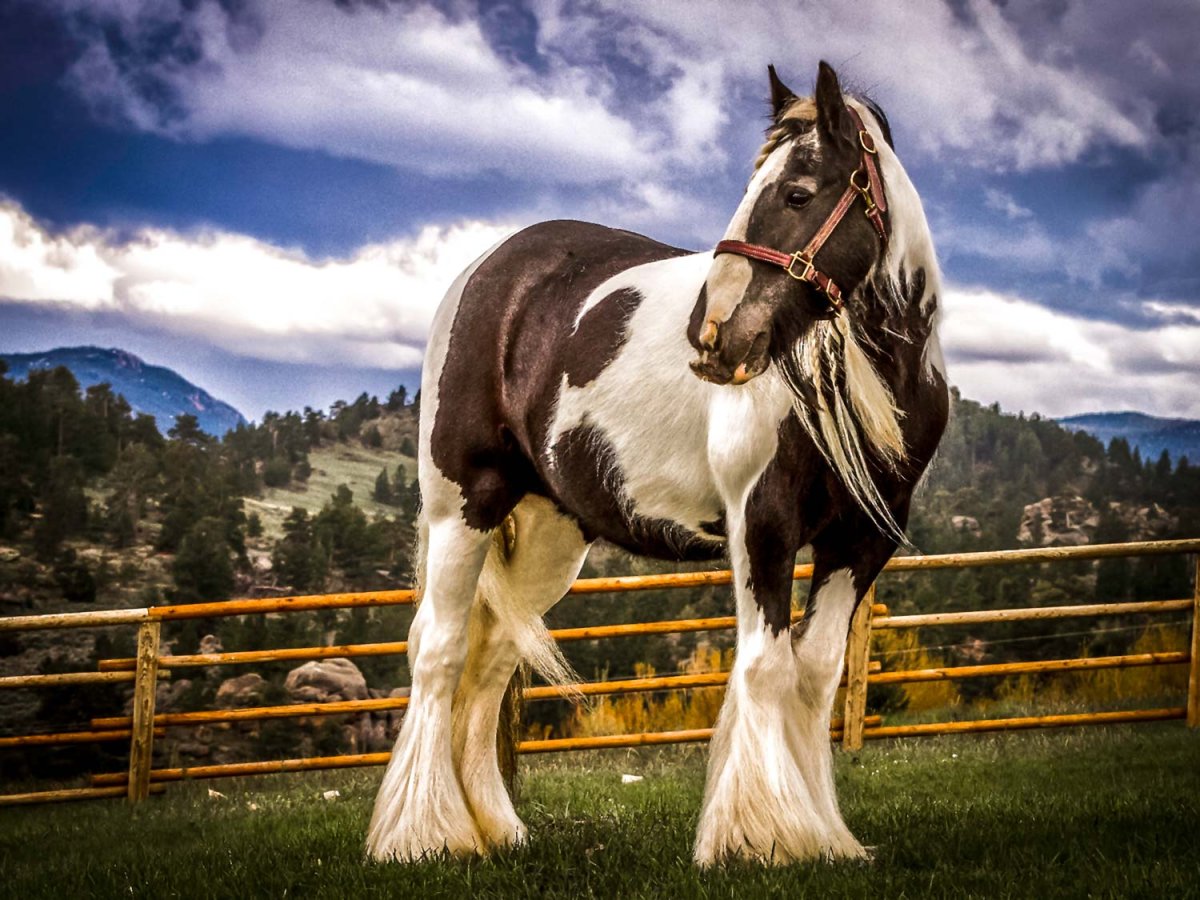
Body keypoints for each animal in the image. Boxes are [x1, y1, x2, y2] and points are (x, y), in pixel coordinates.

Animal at [367, 60, 949, 866]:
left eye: (797, 194)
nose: (713, 336)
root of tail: (490, 269)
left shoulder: (860, 542)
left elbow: (816, 673)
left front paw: (822, 839)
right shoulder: (761, 523)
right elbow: (767, 666)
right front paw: (760, 835)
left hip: (550, 536)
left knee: (492, 658)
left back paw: (494, 830)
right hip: (464, 504)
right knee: (438, 649)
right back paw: (424, 835)